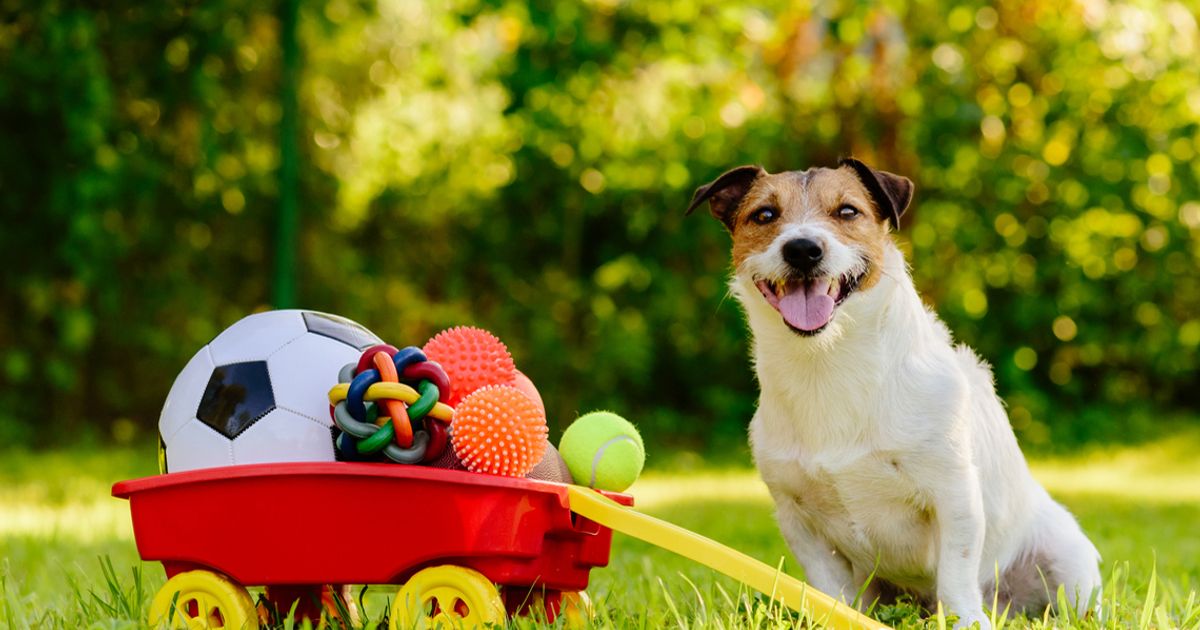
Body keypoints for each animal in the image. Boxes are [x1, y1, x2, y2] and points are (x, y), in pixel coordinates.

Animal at [691, 159, 1099, 624]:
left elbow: (956, 576)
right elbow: (831, 589)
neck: (828, 364)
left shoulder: (955, 494)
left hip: (1069, 564)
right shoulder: (798, 519)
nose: (802, 249)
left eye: (848, 211)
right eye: (764, 215)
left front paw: (966, 622)